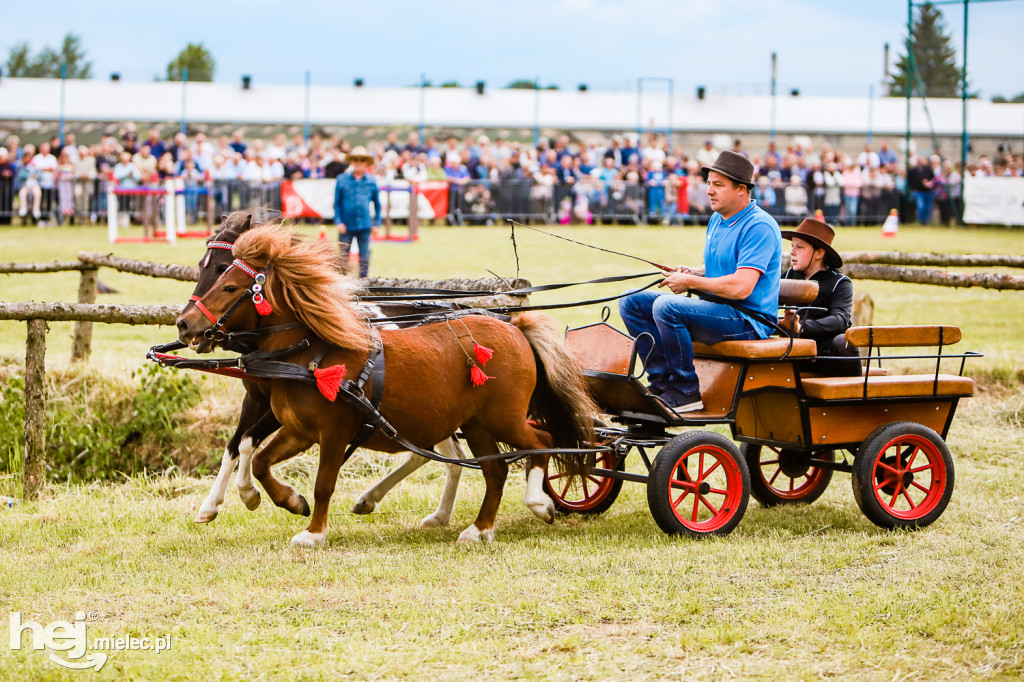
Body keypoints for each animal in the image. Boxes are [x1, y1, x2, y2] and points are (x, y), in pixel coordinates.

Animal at [172, 225, 598, 544]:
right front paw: (290, 502)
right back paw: (477, 529)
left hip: (503, 417)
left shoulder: (333, 432)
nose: (184, 323)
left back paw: (537, 503)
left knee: (540, 443)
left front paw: (313, 533)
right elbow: (258, 459)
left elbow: (323, 482)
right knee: (492, 470)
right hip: (474, 423)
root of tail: (515, 326)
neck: (312, 355)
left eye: (229, 284)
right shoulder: (298, 430)